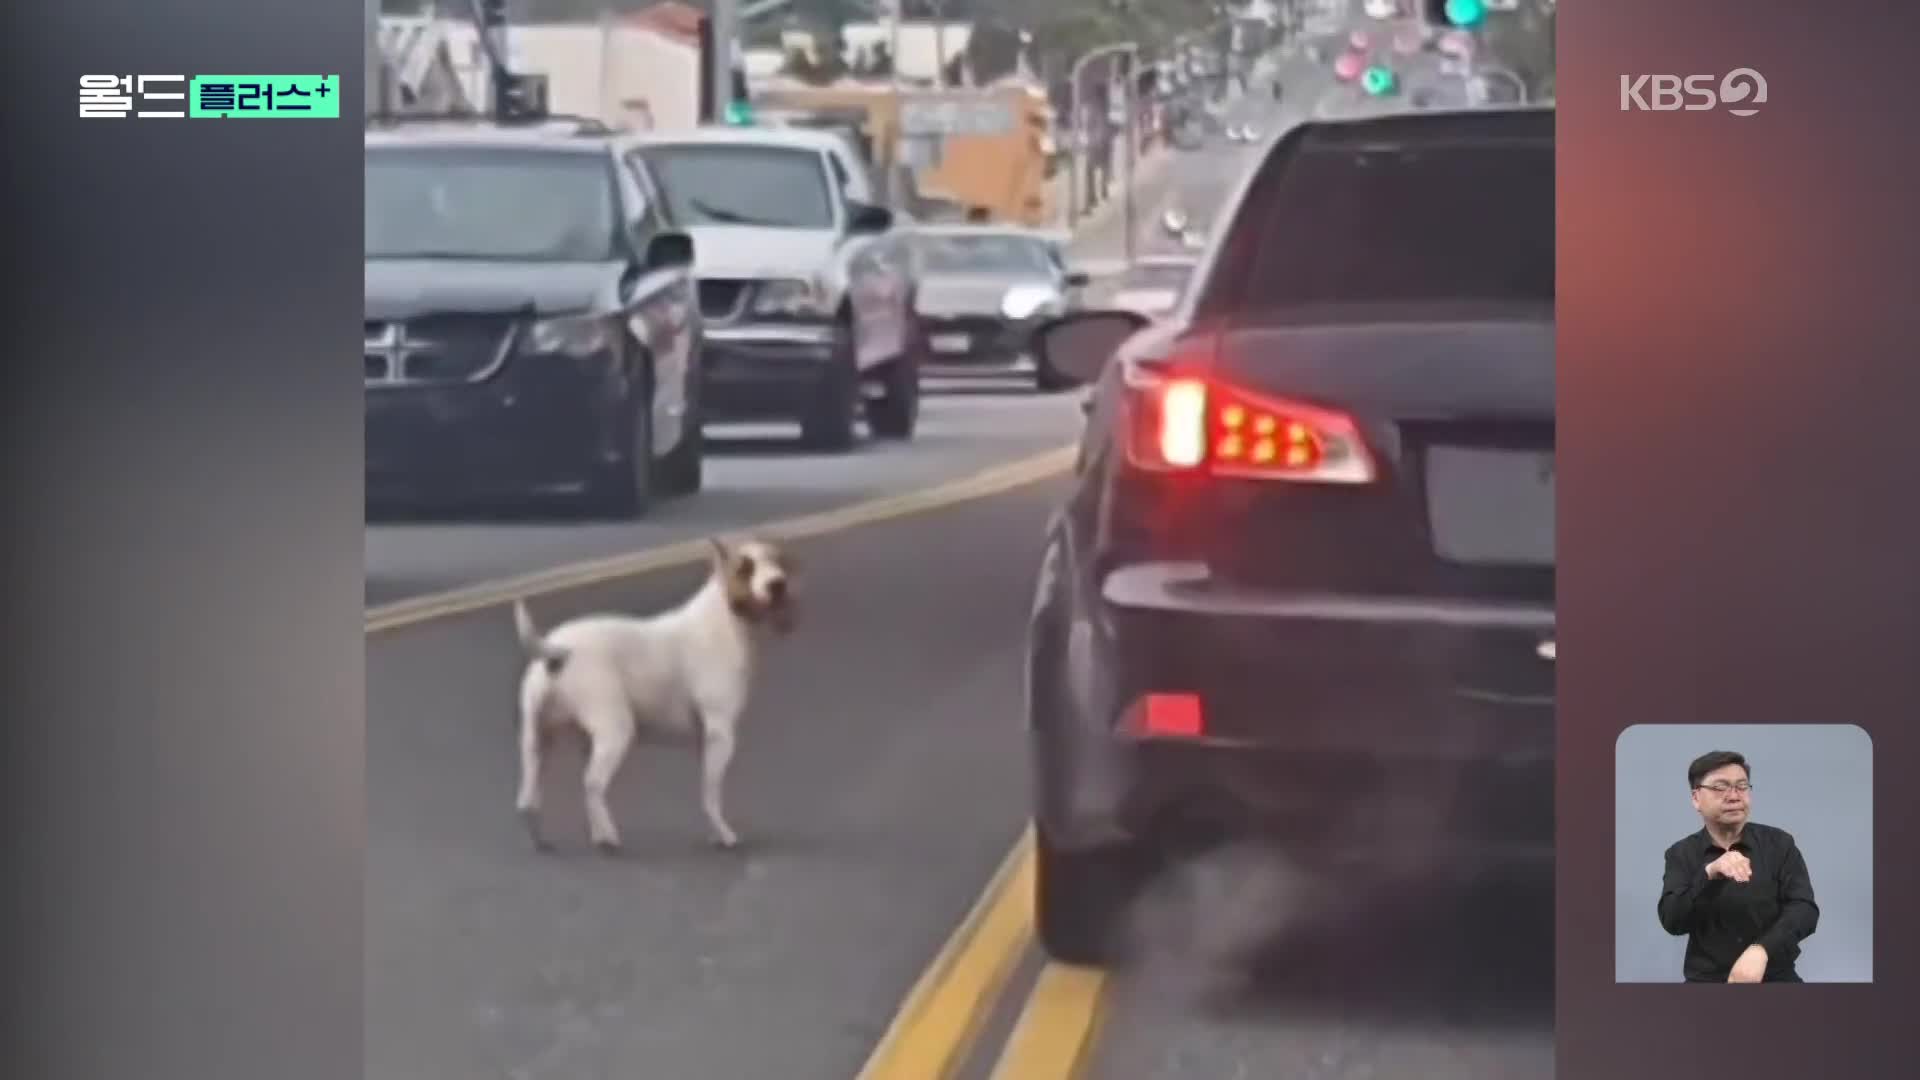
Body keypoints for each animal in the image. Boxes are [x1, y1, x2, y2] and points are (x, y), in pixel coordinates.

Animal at [510, 534, 794, 853]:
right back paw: (608, 837)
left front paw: (714, 833)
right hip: (615, 730)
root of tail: (558, 651)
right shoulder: (721, 734)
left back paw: (549, 838)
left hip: (536, 740)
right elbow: (711, 795)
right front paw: (725, 834)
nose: (778, 584)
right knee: (593, 784)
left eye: (779, 560)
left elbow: (707, 790)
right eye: (744, 568)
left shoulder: (705, 741)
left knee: (528, 799)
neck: (724, 616)